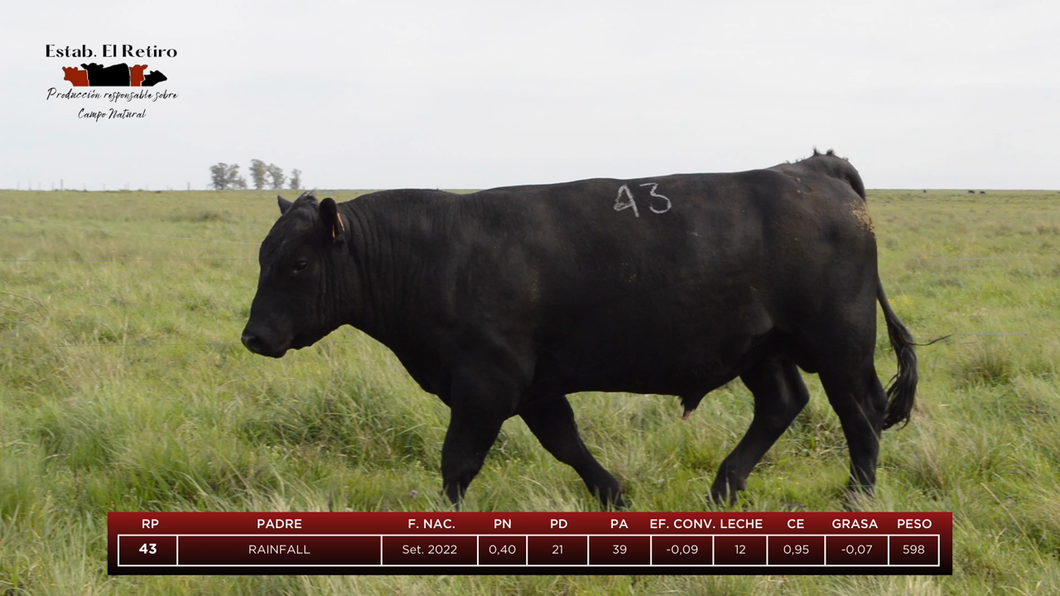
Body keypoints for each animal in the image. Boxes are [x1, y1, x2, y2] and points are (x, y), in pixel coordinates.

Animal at [242, 150, 920, 509]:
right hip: (763, 346)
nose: (253, 337)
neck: (441, 253)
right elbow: (565, 443)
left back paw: (856, 498)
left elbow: (458, 460)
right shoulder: (534, 386)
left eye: (297, 264)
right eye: (262, 255)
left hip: (840, 343)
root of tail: (811, 169)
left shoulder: (486, 383)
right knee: (784, 403)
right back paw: (722, 489)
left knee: (858, 415)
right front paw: (615, 495)